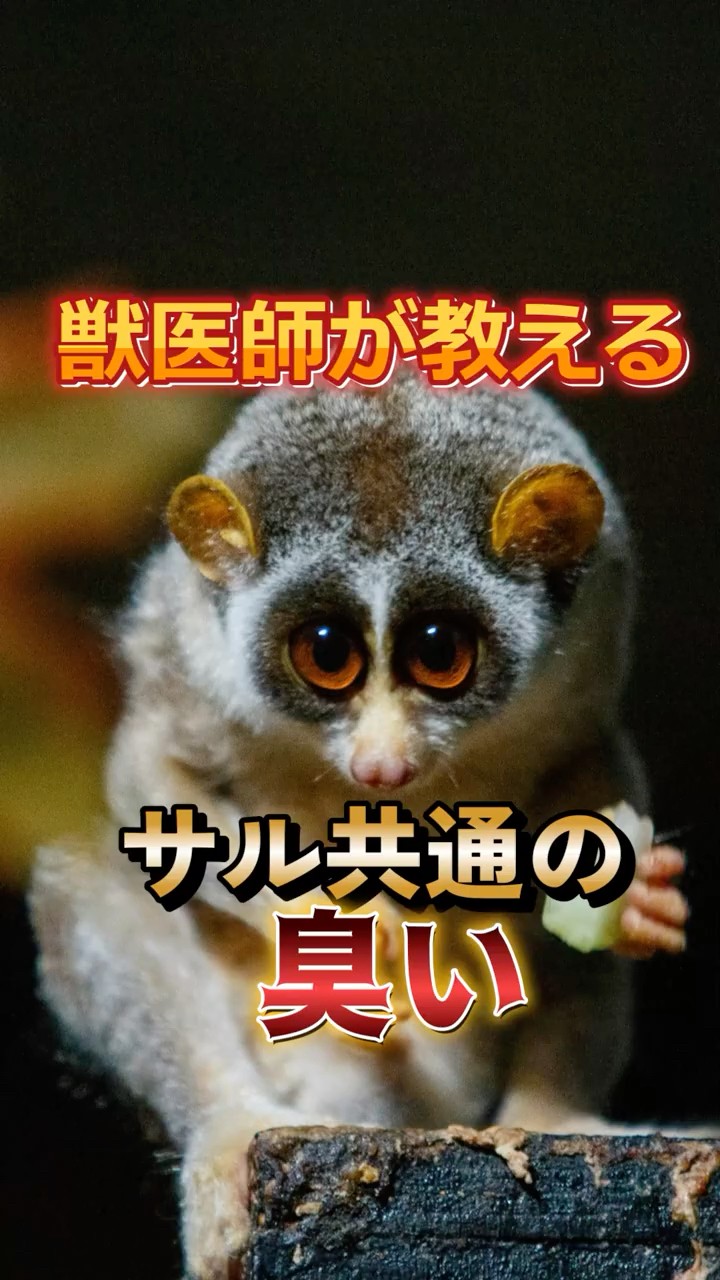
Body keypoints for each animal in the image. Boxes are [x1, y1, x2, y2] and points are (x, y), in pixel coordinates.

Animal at [29, 371, 689, 1279]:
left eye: (441, 655)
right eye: (326, 656)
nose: (380, 767)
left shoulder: (591, 647)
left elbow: (592, 775)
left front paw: (624, 896)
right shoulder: (190, 653)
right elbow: (151, 777)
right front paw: (331, 923)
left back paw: (554, 1119)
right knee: (86, 881)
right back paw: (230, 1135)